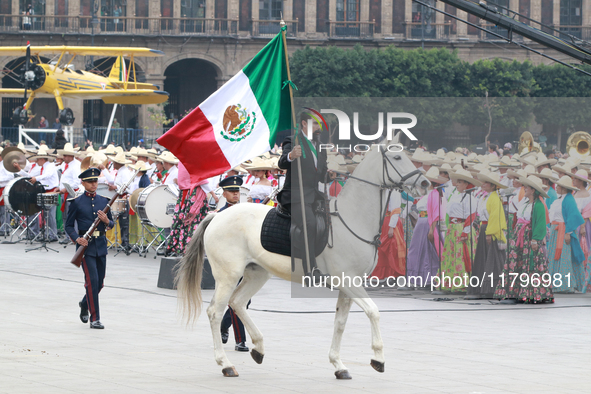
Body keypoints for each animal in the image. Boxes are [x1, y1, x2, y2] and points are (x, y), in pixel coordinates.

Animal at [176, 144, 430, 378]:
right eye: (397, 158)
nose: (425, 184)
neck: (353, 219)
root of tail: (217, 215)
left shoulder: (349, 286)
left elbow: (340, 322)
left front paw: (339, 365)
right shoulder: (349, 282)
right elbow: (373, 312)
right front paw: (378, 359)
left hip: (257, 272)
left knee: (237, 302)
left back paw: (258, 348)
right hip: (228, 276)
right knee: (216, 312)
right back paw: (226, 364)